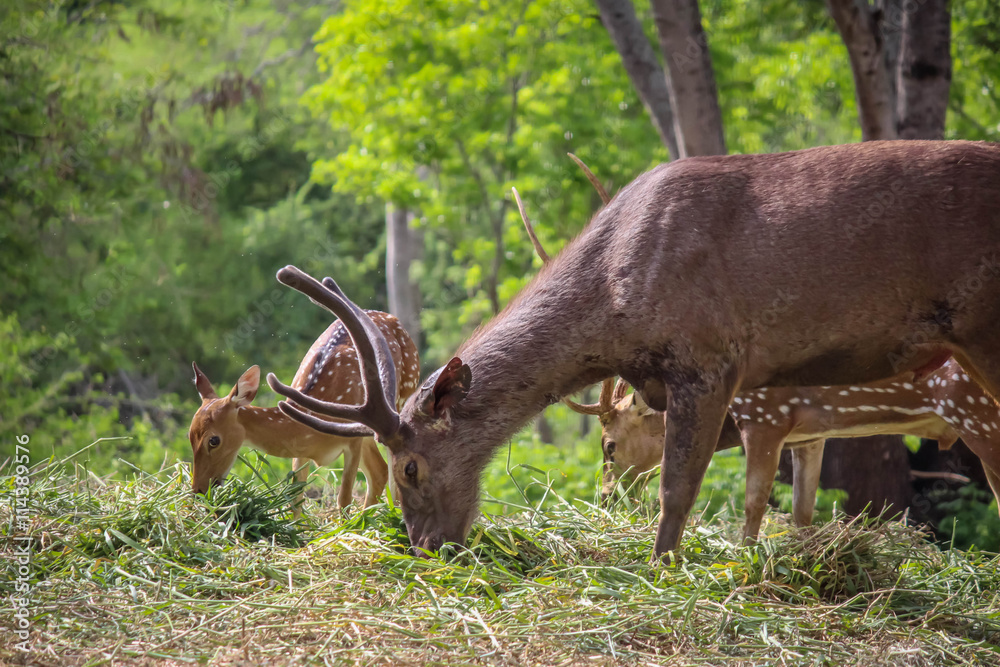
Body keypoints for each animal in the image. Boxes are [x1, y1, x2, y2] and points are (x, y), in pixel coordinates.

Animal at [188, 311, 420, 511]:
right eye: (190, 436)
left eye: (214, 440)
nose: (198, 490)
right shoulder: (301, 452)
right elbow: (295, 499)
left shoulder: (352, 439)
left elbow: (344, 499)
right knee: (379, 471)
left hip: (401, 395)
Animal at [266, 141, 1000, 558]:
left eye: (411, 466)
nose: (421, 547)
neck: (615, 299)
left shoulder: (710, 356)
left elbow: (678, 489)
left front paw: (661, 568)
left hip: (984, 328)